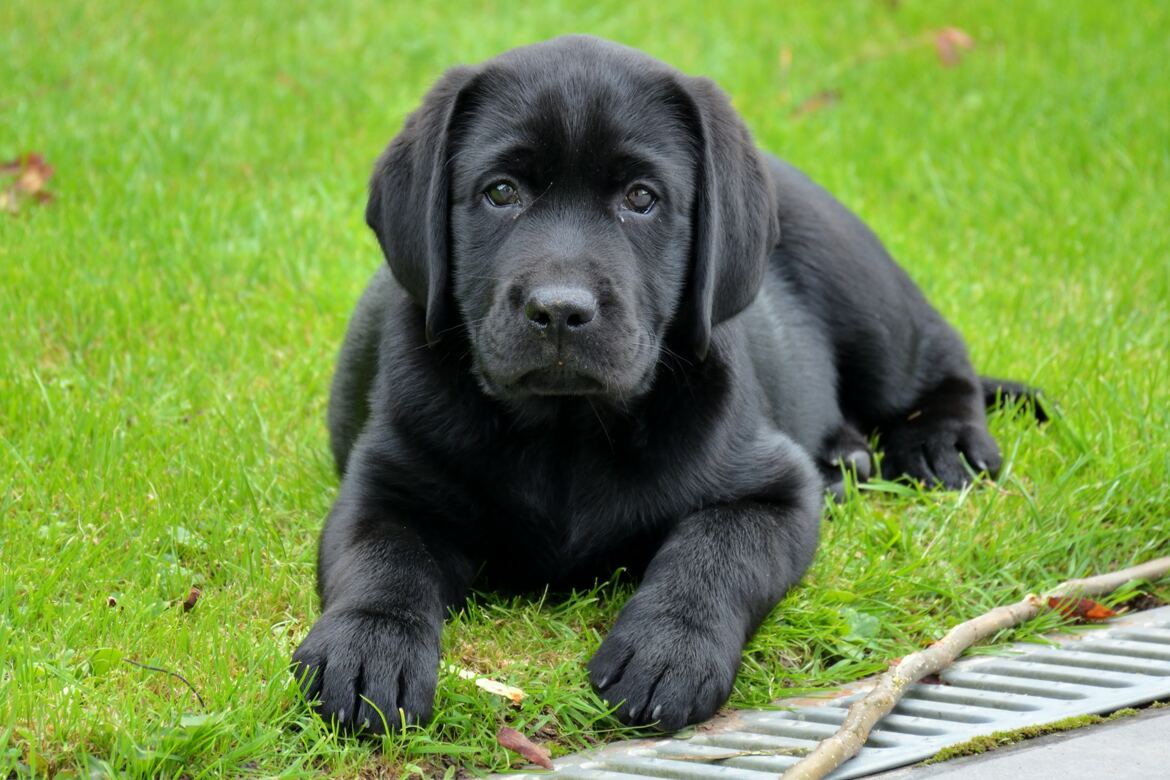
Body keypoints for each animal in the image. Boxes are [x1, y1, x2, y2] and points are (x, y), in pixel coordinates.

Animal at [292, 35, 1034, 734]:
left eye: (641, 199)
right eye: (501, 192)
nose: (559, 310)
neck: (566, 431)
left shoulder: (772, 491)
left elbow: (712, 553)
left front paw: (668, 651)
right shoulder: (385, 487)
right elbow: (382, 561)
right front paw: (367, 649)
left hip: (863, 292)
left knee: (939, 356)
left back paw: (942, 444)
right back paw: (845, 457)